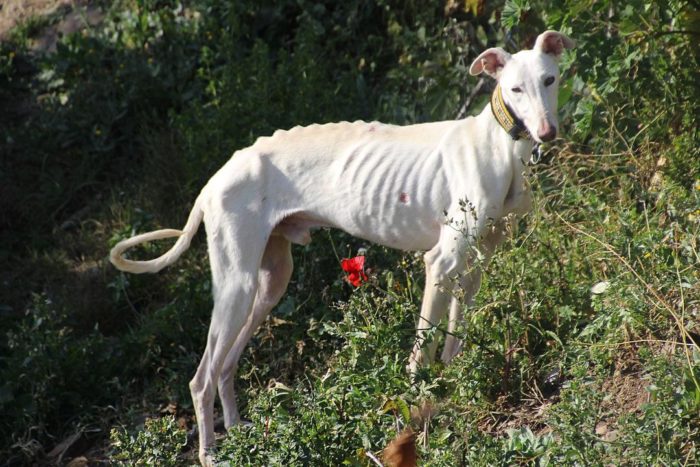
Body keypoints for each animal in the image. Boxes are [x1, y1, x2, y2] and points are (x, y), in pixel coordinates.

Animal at [110, 30, 574, 465]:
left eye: (549, 80)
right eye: (515, 89)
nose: (547, 132)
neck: (498, 144)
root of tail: (217, 176)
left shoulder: (475, 265)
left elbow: (454, 341)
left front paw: (454, 388)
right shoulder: (441, 262)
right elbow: (421, 352)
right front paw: (414, 413)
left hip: (270, 283)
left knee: (225, 366)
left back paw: (240, 433)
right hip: (235, 286)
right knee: (201, 377)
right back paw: (210, 454)